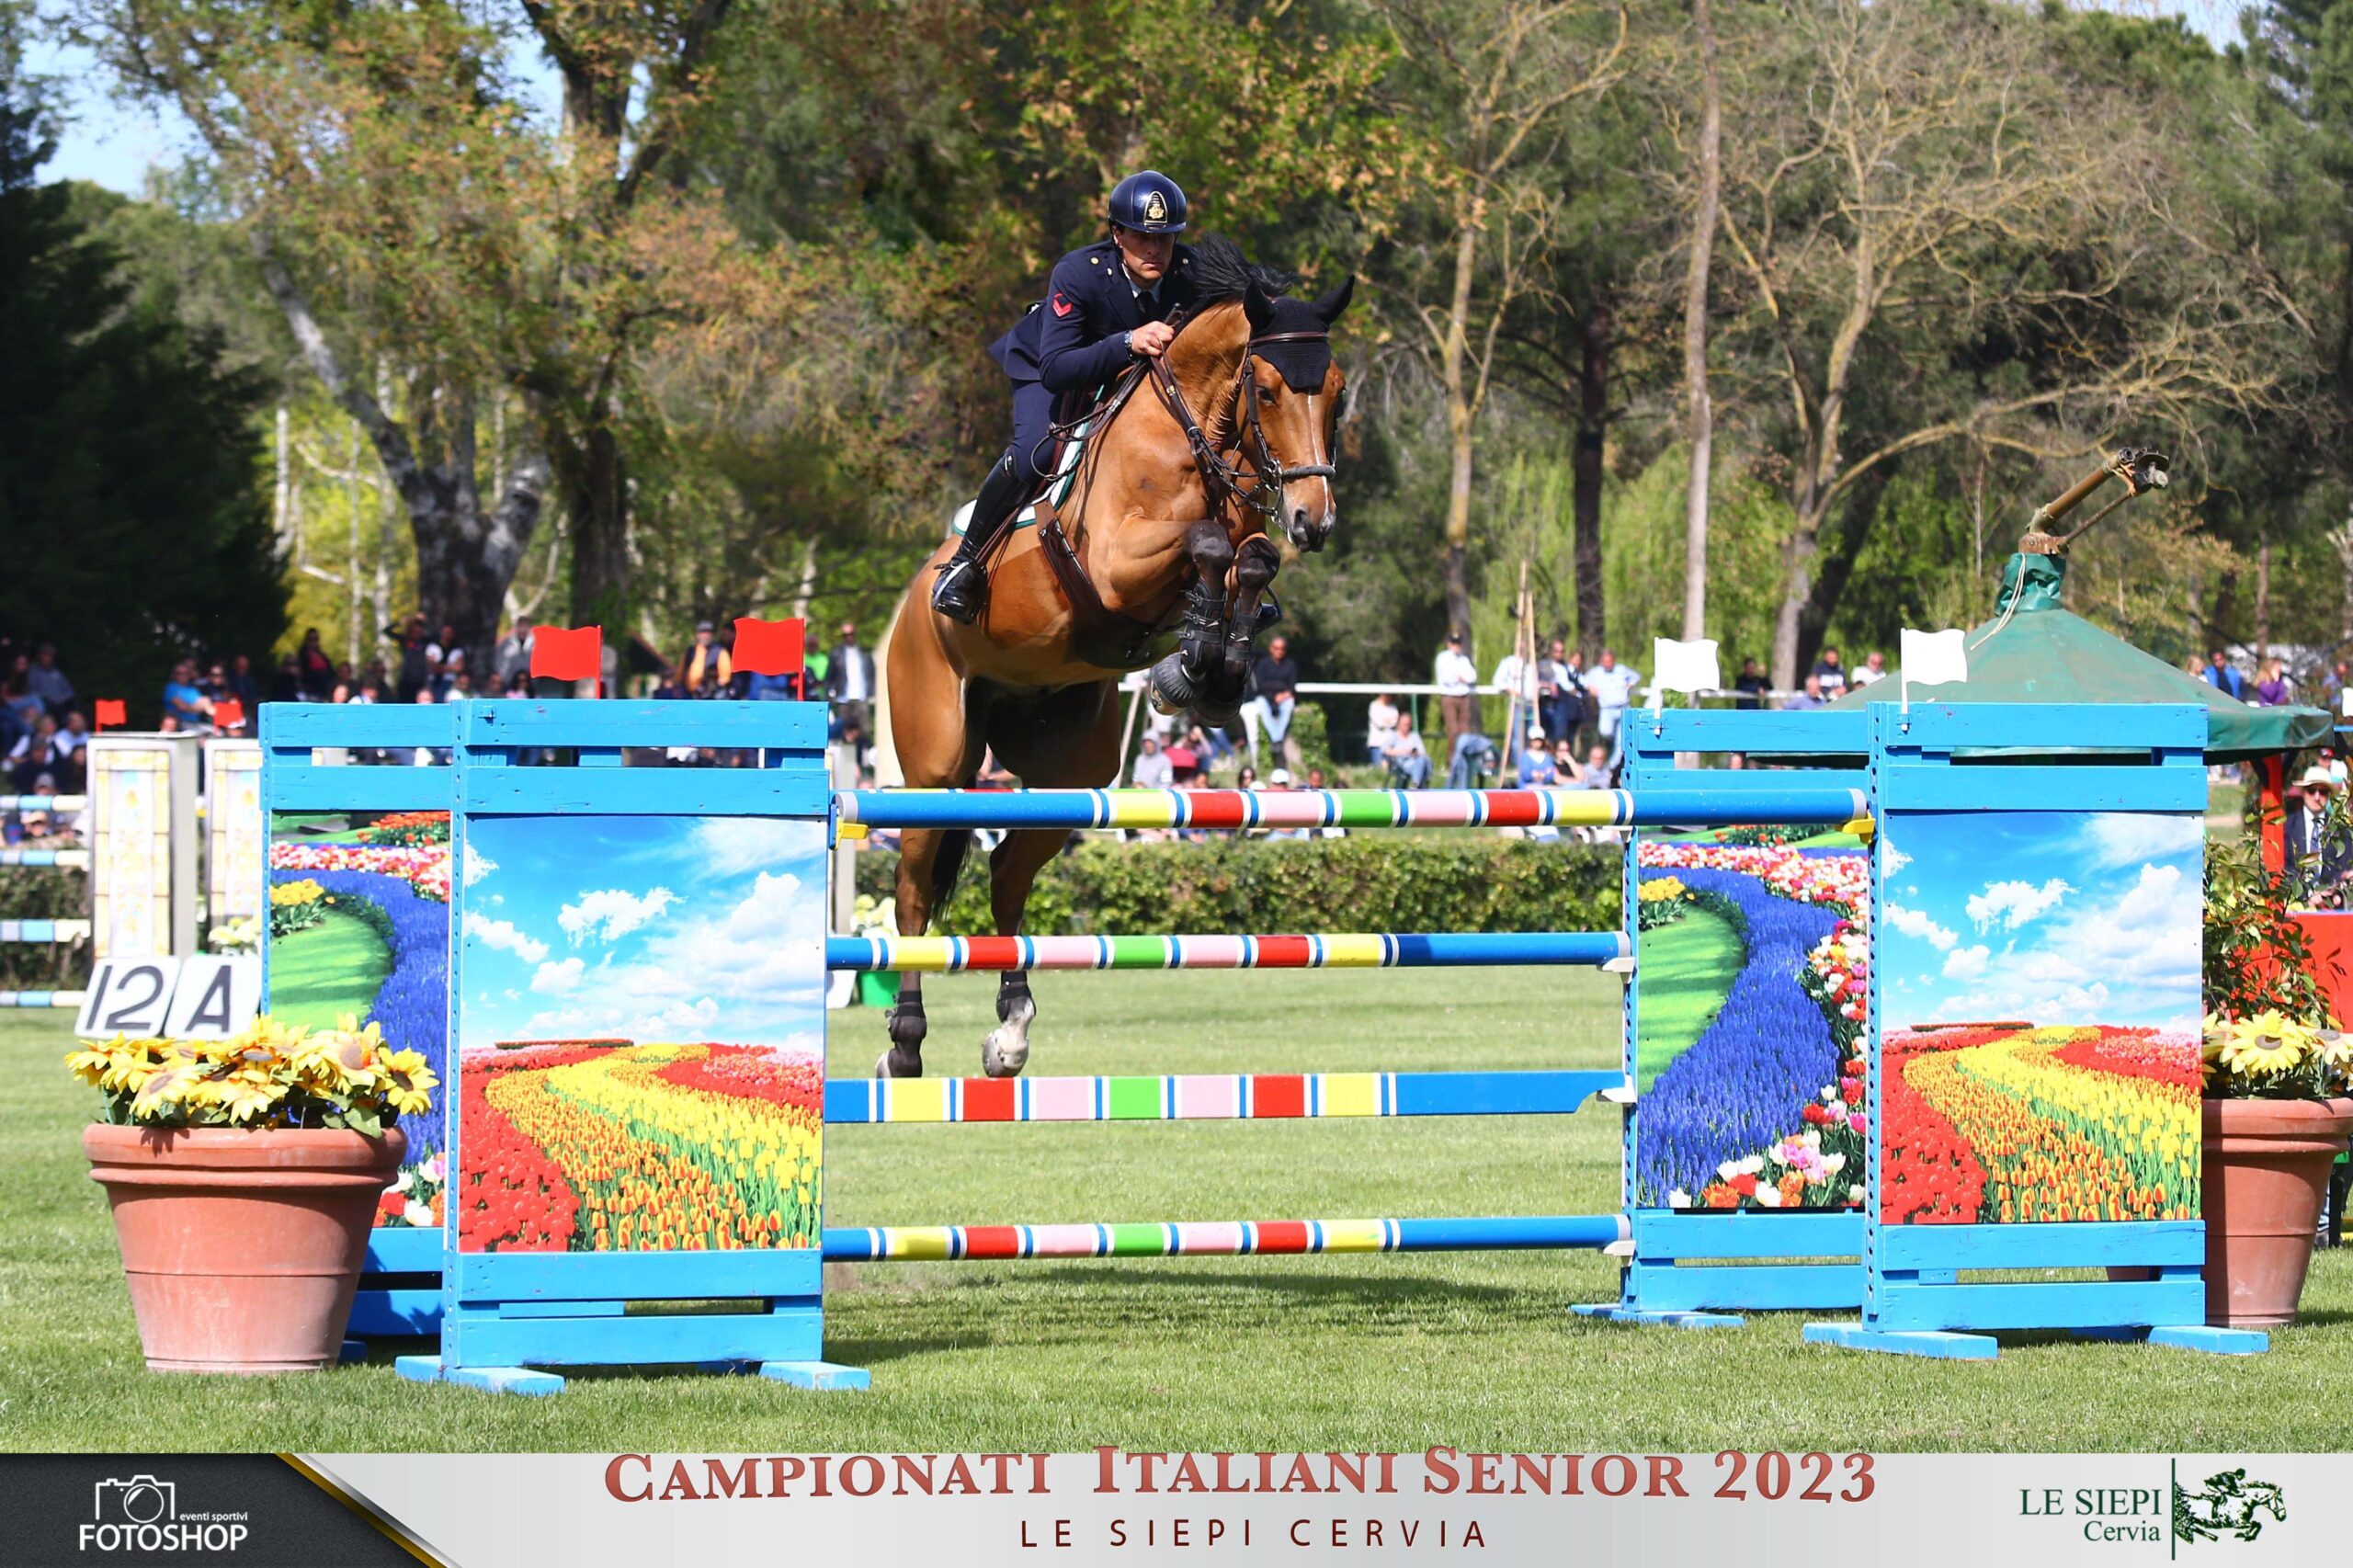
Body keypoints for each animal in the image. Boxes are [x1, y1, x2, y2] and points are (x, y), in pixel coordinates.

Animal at [878, 245, 1354, 1079]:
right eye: (1267, 390)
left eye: (1336, 393)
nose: (1313, 521)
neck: (1193, 434)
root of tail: (910, 603)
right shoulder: (1113, 565)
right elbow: (1205, 541)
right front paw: (1191, 664)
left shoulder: (1236, 544)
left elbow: (1248, 560)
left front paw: (1206, 669)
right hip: (935, 757)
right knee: (911, 886)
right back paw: (904, 1043)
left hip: (1072, 770)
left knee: (1009, 873)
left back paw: (1012, 1030)